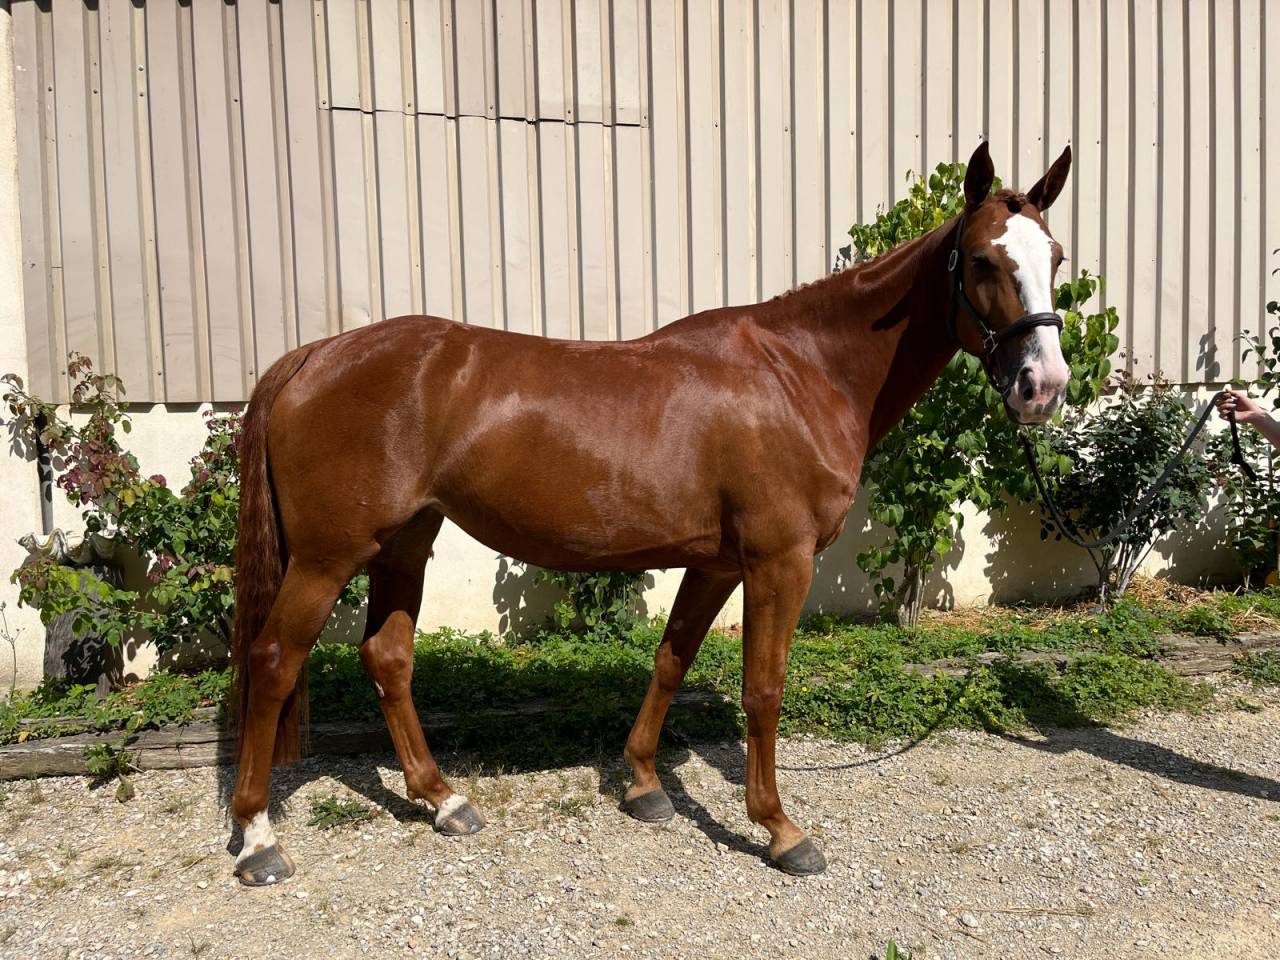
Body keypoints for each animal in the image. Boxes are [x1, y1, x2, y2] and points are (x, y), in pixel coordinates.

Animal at [228, 140, 1073, 884]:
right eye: (987, 260)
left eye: (1056, 258)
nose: (1045, 385)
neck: (800, 371)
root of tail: (312, 355)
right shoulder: (779, 561)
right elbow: (763, 691)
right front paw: (780, 829)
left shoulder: (717, 563)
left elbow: (671, 660)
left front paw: (642, 785)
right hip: (328, 557)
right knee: (272, 663)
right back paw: (258, 838)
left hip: (406, 540)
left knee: (388, 659)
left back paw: (443, 801)